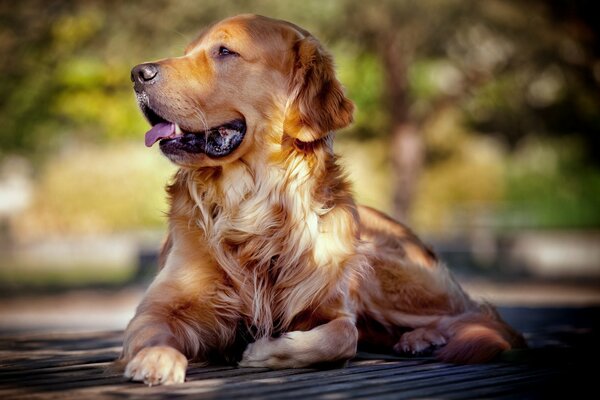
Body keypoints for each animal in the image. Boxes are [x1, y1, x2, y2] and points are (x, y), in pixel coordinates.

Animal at [122, 14, 524, 384]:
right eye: (187, 51)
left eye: (224, 51)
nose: (138, 73)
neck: (254, 204)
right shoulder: (160, 305)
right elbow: (151, 327)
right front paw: (156, 357)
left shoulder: (333, 306)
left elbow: (341, 337)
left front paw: (263, 352)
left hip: (378, 265)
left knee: (479, 316)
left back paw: (425, 336)